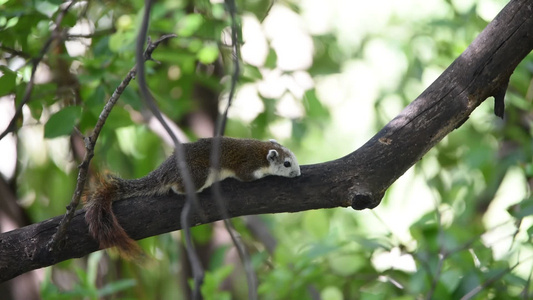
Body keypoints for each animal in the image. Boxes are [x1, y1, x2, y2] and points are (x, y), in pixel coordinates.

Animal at [83, 137, 300, 256]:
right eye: (287, 163)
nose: (298, 174)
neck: (261, 151)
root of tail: (166, 170)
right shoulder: (246, 167)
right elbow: (247, 177)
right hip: (198, 174)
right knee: (179, 188)